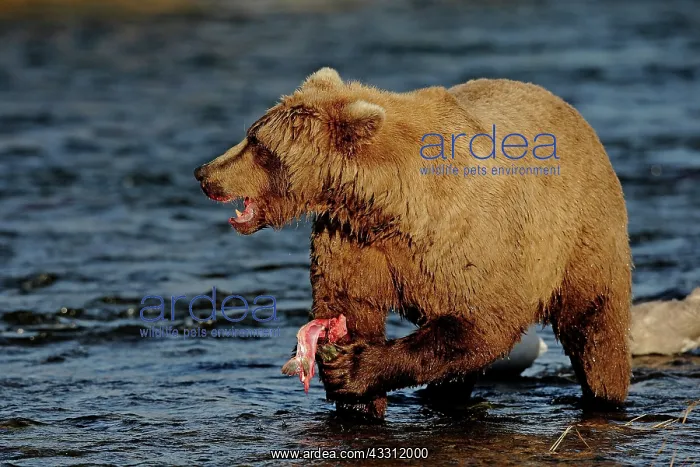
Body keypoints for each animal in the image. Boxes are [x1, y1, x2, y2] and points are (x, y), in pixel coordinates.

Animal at [194, 67, 632, 420]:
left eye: (259, 144)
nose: (204, 172)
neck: (386, 205)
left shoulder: (469, 238)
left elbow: (480, 323)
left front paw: (353, 369)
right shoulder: (353, 239)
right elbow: (349, 304)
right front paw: (354, 395)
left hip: (584, 237)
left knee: (595, 327)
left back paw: (604, 397)